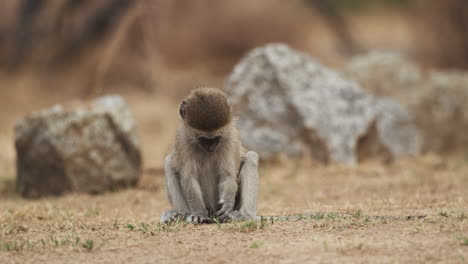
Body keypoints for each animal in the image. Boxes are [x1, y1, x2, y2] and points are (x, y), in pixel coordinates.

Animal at [161, 87, 260, 224]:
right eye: (203, 139)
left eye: (216, 138)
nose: (211, 148)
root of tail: (212, 213)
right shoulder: (182, 140)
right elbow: (189, 177)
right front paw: (199, 213)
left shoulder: (230, 138)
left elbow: (227, 175)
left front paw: (227, 205)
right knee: (169, 162)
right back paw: (182, 214)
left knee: (251, 157)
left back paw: (245, 215)